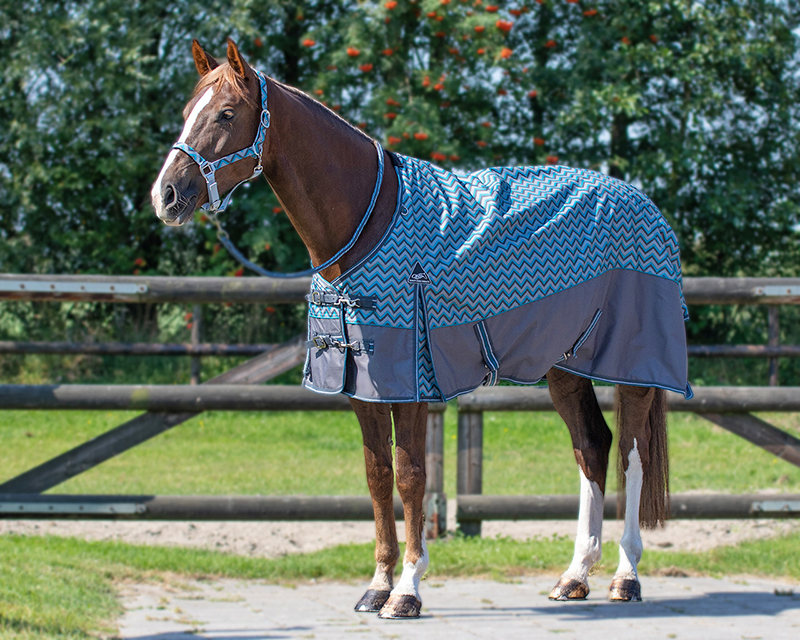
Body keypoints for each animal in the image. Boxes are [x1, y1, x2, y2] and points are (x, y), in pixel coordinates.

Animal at [152, 38, 676, 616]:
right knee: (592, 447)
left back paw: (626, 577)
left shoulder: (410, 385)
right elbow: (378, 476)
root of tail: (647, 206)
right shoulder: (361, 385)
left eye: (226, 113)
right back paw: (574, 576)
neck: (366, 222)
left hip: (634, 367)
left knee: (631, 454)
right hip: (565, 366)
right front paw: (376, 585)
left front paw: (406, 590)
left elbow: (410, 477)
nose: (166, 196)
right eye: (186, 112)